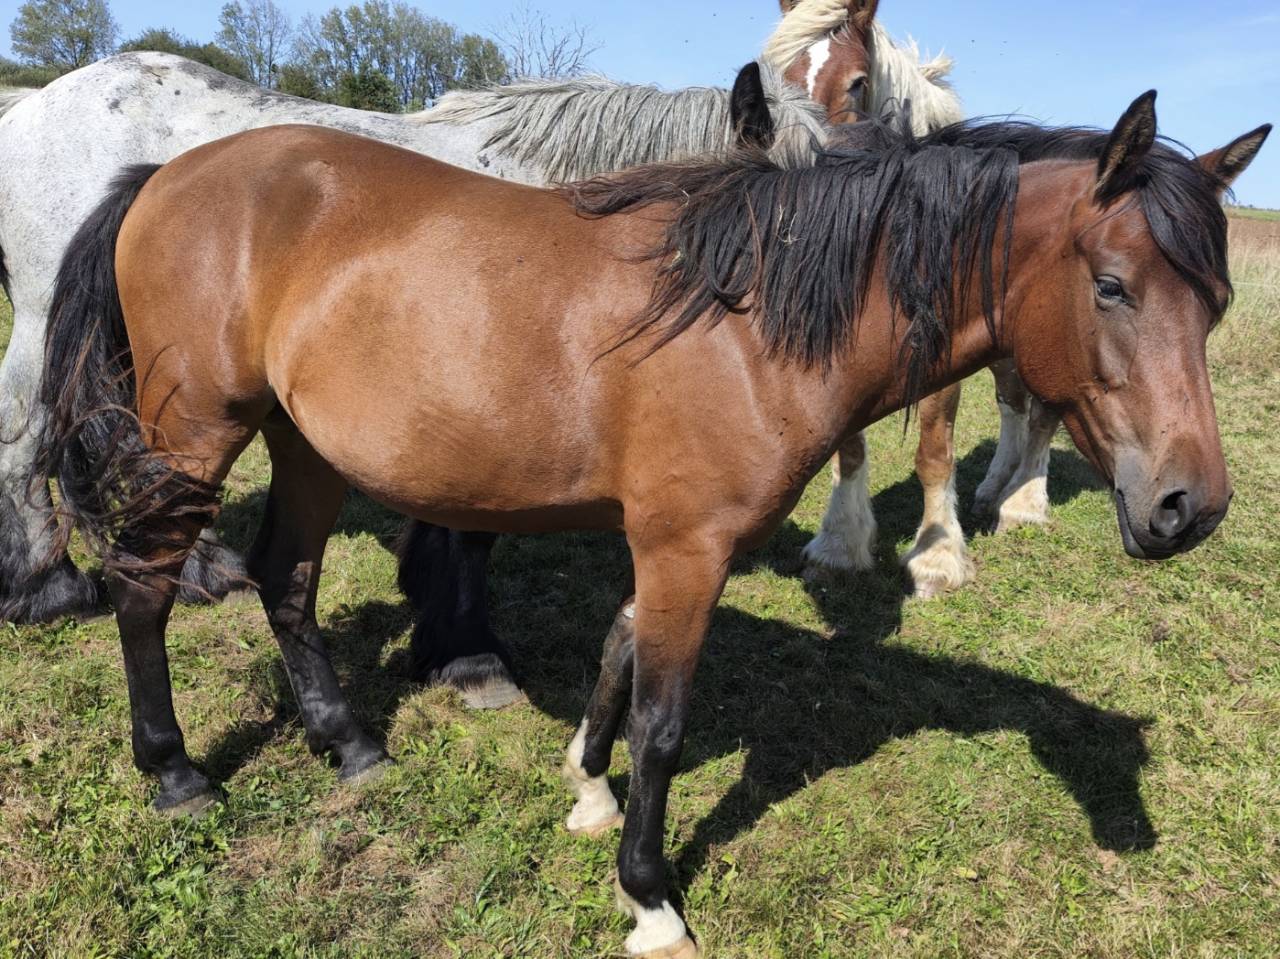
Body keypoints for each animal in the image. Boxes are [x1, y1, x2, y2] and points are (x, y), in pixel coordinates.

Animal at [31, 60, 1267, 953]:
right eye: (1110, 285)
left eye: (1214, 301)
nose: (1186, 507)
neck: (752, 312)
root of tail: (161, 176)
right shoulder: (688, 544)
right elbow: (663, 722)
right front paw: (651, 898)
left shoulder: (664, 543)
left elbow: (617, 657)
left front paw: (582, 787)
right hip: (192, 436)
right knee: (145, 589)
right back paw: (175, 772)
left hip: (306, 446)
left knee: (286, 580)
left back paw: (350, 745)